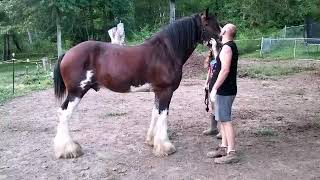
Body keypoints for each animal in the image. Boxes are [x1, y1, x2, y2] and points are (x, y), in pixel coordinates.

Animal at [53, 9, 221, 159]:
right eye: (209, 25)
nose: (221, 41)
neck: (166, 52)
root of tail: (67, 53)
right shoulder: (166, 91)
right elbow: (163, 115)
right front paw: (165, 147)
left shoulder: (158, 91)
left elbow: (155, 113)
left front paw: (152, 141)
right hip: (76, 92)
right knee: (64, 113)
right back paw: (69, 149)